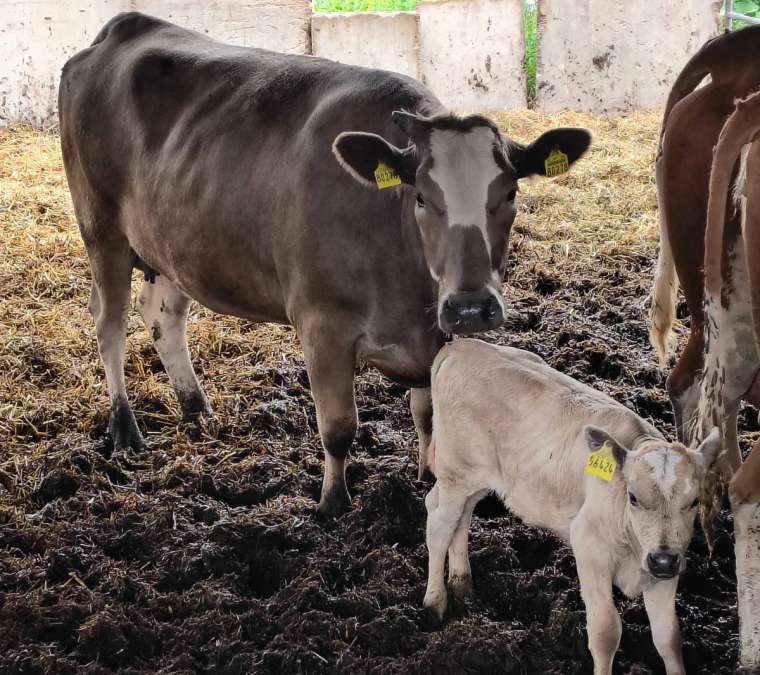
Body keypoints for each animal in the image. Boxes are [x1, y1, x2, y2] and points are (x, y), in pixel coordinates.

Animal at [58, 12, 591, 516]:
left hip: (170, 245)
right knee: (109, 323)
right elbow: (338, 428)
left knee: (163, 315)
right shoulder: (322, 326)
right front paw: (332, 503)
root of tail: (122, 29)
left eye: (511, 193)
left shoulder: (436, 337)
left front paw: (427, 474)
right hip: (101, 229)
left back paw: (195, 407)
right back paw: (124, 428)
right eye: (421, 196)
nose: (471, 307)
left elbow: (428, 415)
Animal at [424, 339, 720, 675]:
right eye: (633, 497)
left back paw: (462, 582)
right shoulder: (589, 547)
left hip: (475, 478)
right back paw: (435, 602)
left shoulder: (664, 571)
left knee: (460, 516)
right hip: (455, 472)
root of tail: (462, 346)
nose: (663, 560)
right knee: (439, 525)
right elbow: (606, 631)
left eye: (694, 501)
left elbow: (668, 637)